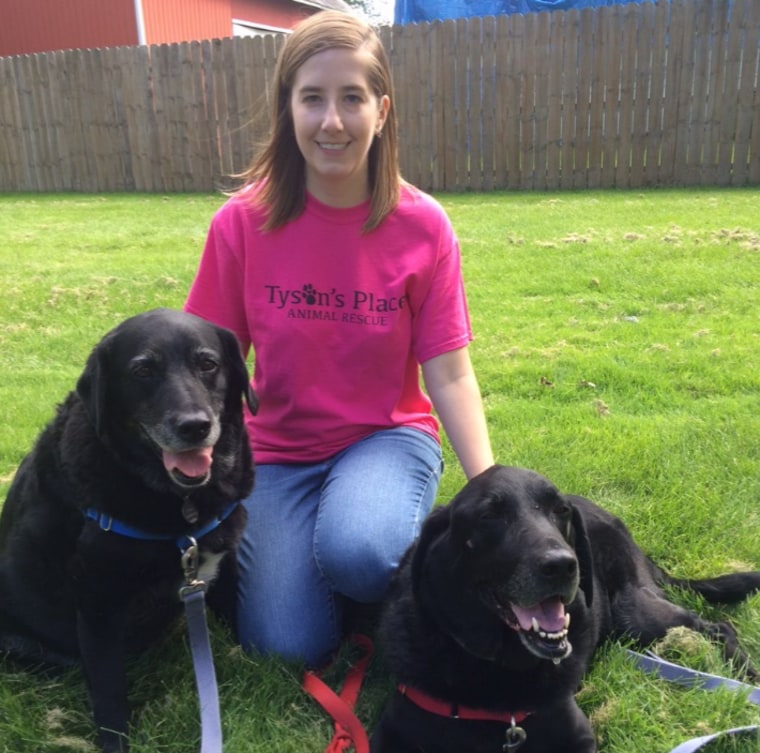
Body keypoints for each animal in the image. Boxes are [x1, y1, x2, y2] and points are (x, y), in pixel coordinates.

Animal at [0, 306, 256, 752]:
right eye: (142, 370)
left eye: (208, 364)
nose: (194, 426)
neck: (182, 505)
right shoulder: (99, 600)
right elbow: (108, 692)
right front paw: (116, 740)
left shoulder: (222, 563)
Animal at [372, 464, 760, 752]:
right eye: (488, 515)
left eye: (560, 511)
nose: (562, 565)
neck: (499, 670)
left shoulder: (577, 734)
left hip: (635, 614)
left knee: (718, 626)